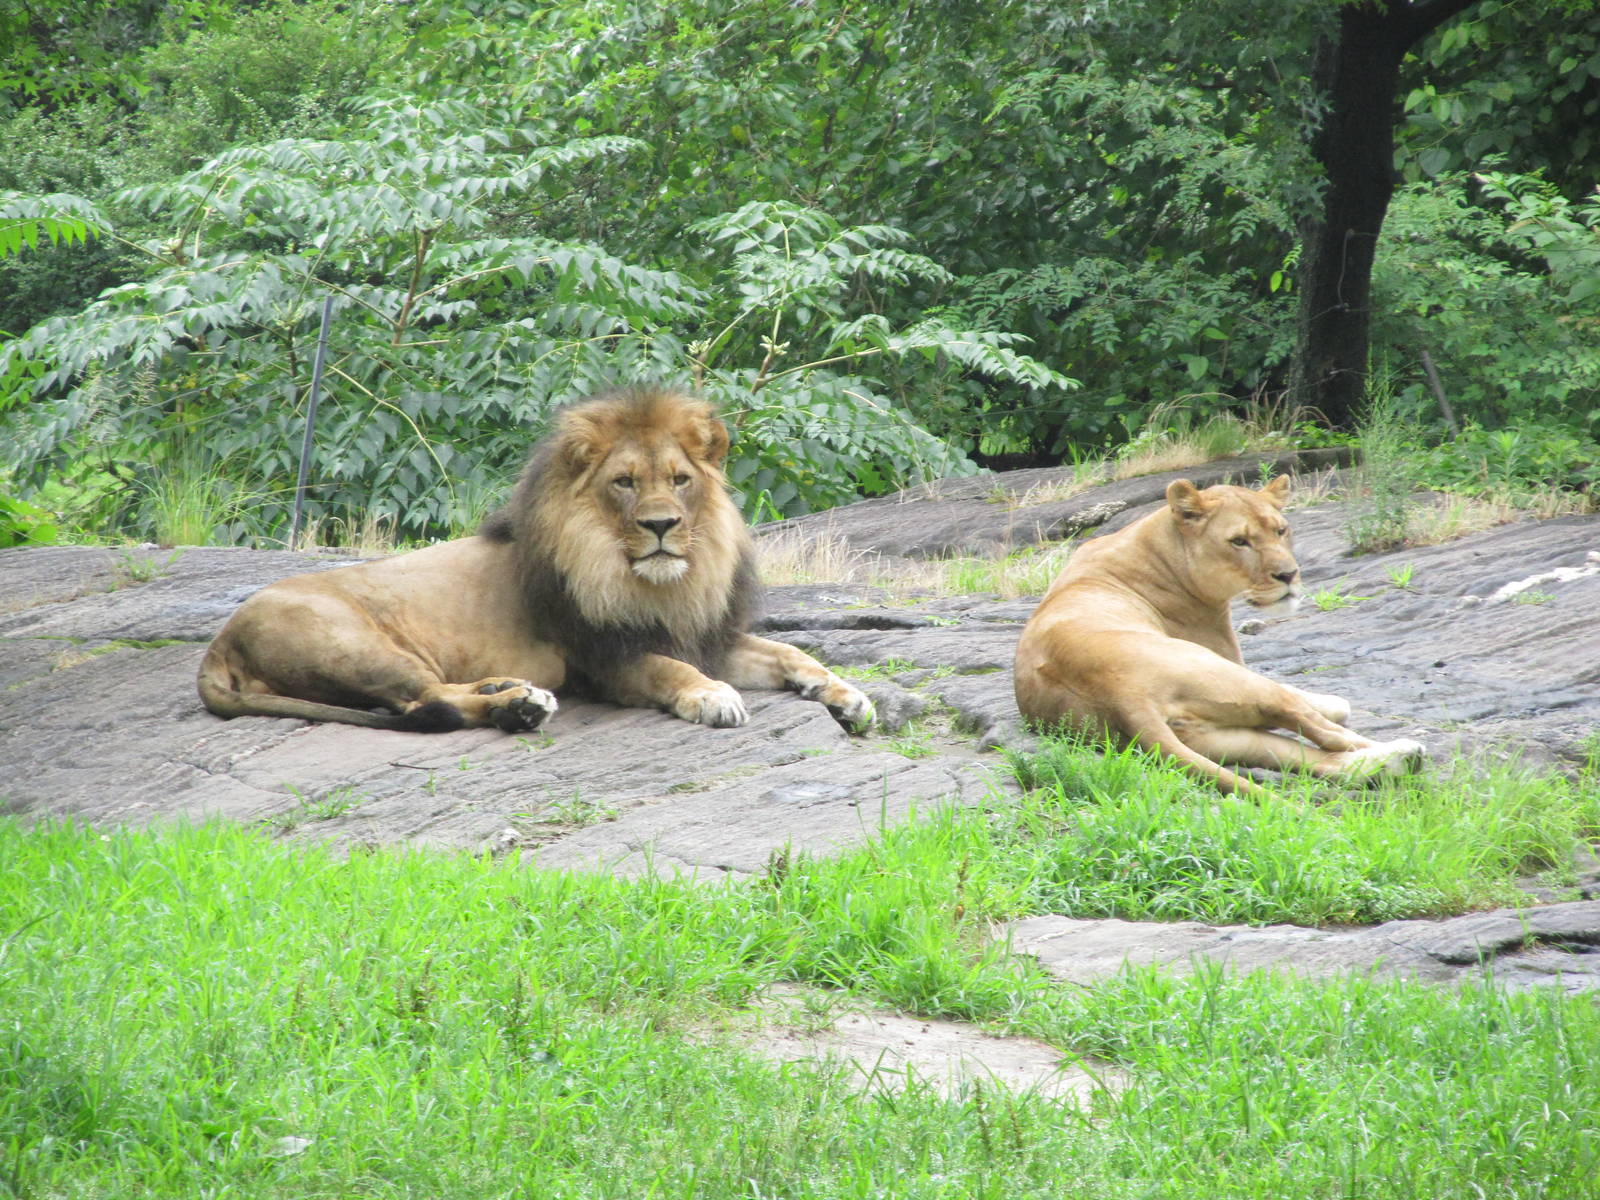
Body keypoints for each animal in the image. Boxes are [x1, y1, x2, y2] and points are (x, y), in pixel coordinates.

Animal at [198, 386, 875, 736]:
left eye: (680, 480)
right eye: (625, 483)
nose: (661, 526)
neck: (659, 584)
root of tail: (218, 644)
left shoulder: (701, 633)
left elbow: (787, 652)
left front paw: (845, 694)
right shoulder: (604, 658)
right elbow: (669, 670)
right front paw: (712, 697)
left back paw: (509, 692)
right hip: (357, 644)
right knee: (424, 703)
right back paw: (521, 705)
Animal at [1013, 476, 1425, 796]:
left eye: (1281, 530)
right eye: (1239, 541)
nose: (1289, 575)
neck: (1157, 542)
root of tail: (1121, 697)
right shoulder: (1227, 653)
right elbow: (1321, 703)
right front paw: (1332, 701)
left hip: (1216, 737)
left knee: (1314, 759)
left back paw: (1398, 760)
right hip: (1226, 677)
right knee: (1321, 731)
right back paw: (1406, 750)